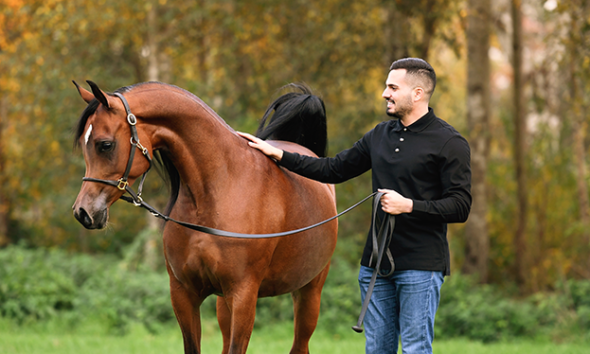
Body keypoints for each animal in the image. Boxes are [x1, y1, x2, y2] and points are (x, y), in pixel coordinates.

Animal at [70, 81, 338, 354]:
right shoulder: (184, 294)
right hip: (224, 304)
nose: (83, 212)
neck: (221, 189)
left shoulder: (243, 296)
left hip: (309, 293)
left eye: (105, 145)